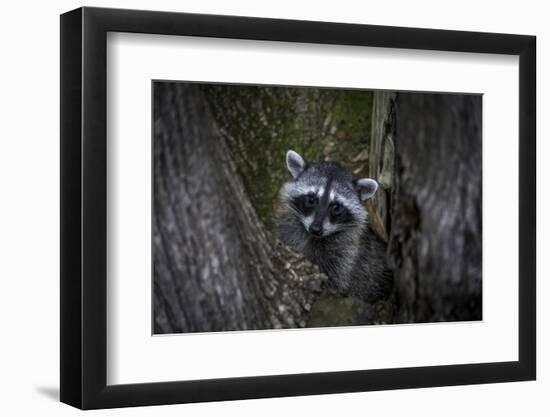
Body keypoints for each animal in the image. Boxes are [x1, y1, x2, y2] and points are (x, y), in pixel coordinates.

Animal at [278, 150, 394, 302]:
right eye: (311, 199)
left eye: (336, 207)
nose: (315, 229)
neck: (315, 238)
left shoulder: (347, 255)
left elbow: (337, 279)